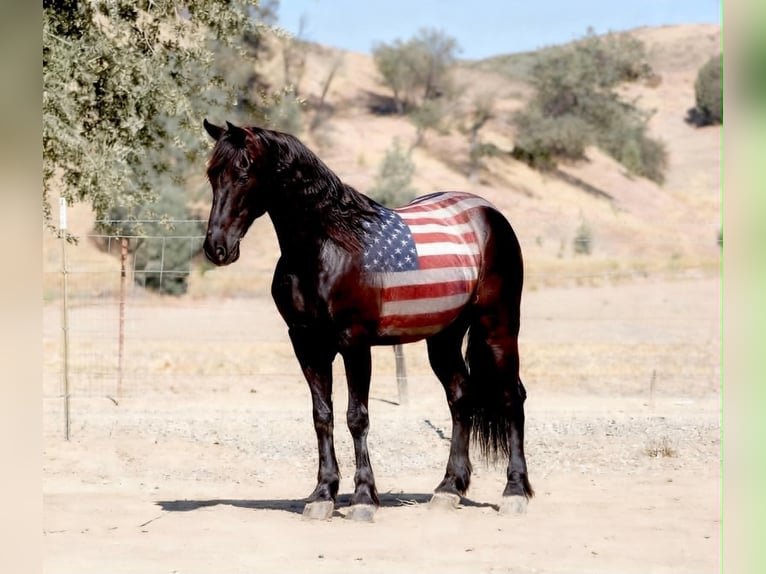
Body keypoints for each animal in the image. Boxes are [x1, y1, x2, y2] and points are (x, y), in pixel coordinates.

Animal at [201, 119, 533, 521]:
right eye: (212, 174)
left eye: (244, 172)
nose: (216, 248)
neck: (328, 250)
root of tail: (488, 212)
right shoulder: (306, 344)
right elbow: (322, 415)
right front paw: (322, 494)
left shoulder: (354, 342)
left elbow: (356, 416)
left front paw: (362, 497)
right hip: (444, 336)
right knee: (460, 397)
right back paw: (449, 488)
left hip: (498, 324)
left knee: (512, 396)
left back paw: (514, 491)